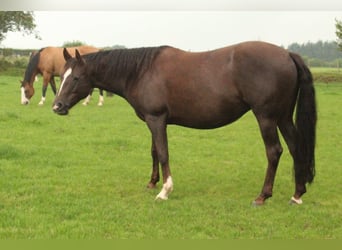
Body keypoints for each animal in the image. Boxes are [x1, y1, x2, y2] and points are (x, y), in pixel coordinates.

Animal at [52, 41, 316, 205]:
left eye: (76, 78)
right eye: (61, 76)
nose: (57, 106)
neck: (141, 71)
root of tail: (287, 54)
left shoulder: (157, 119)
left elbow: (163, 153)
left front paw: (164, 191)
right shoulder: (153, 120)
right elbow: (154, 151)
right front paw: (152, 182)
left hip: (266, 118)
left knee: (274, 151)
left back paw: (263, 196)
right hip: (283, 117)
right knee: (296, 148)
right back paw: (297, 194)